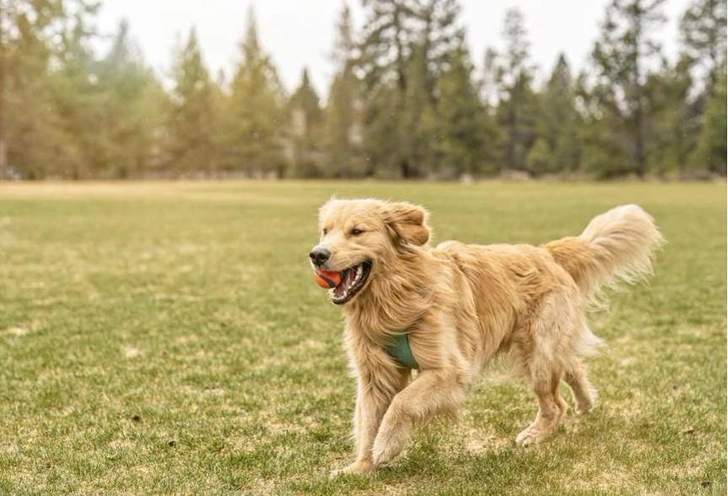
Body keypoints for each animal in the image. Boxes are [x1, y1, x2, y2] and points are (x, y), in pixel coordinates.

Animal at [310, 198, 664, 472]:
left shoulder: (449, 371)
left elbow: (401, 402)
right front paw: (360, 466)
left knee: (555, 404)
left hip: (537, 353)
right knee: (572, 365)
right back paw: (586, 401)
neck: (395, 297)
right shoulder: (374, 375)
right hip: (545, 348)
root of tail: (546, 252)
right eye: (325, 230)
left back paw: (536, 433)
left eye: (357, 231)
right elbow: (368, 420)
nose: (317, 254)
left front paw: (386, 446)